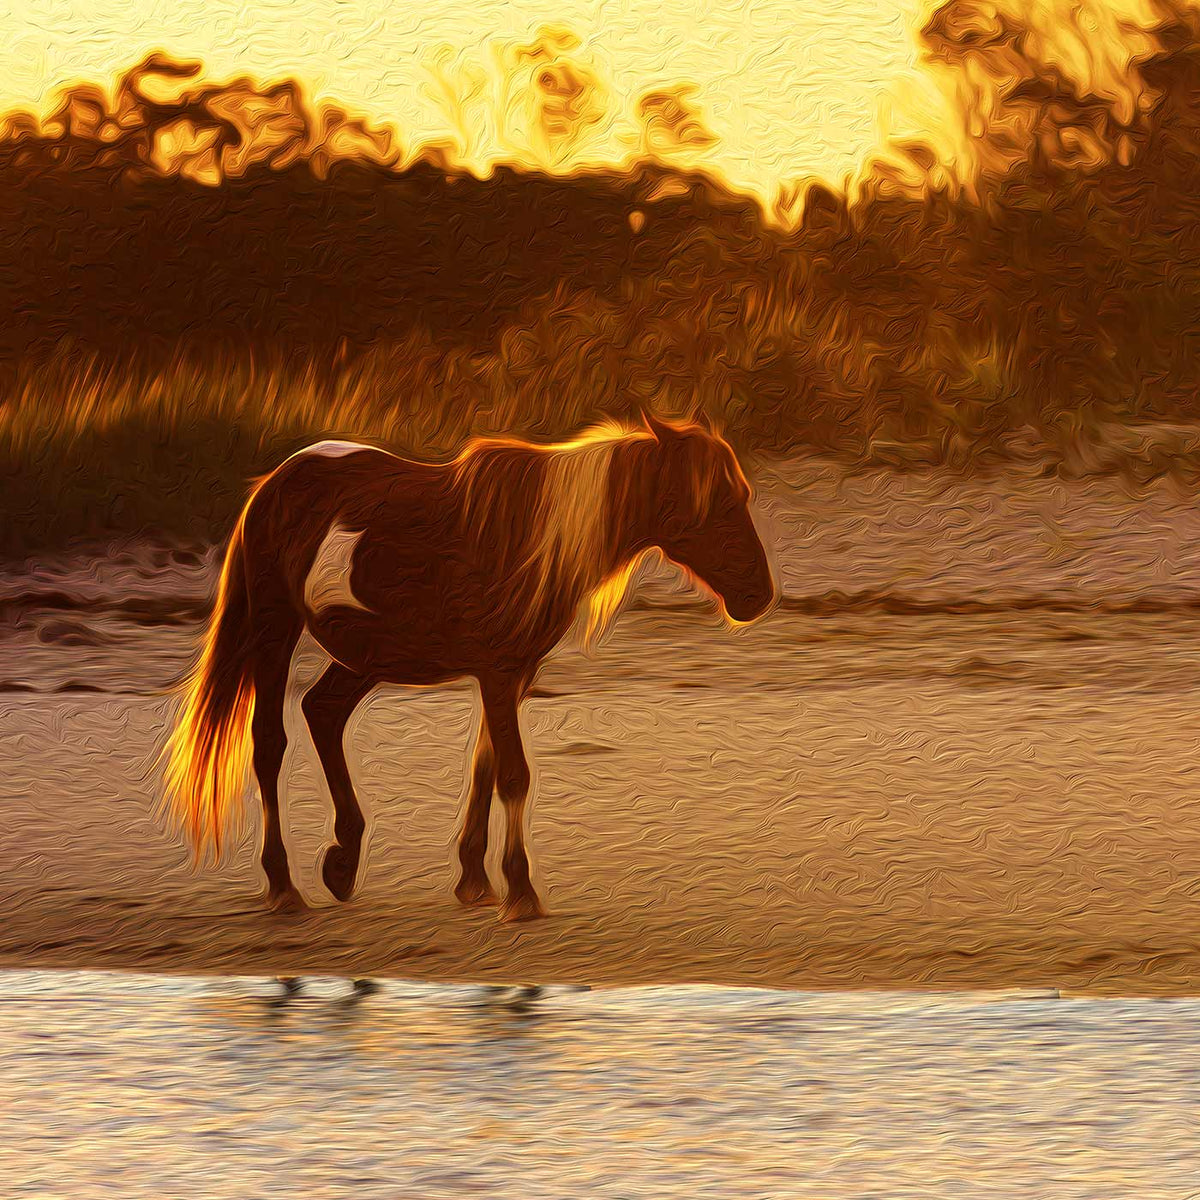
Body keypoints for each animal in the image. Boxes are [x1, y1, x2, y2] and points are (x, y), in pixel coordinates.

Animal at [162, 408, 777, 921]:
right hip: (276, 627)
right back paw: (284, 884)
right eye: (713, 503)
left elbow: (485, 766)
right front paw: (521, 891)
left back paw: (343, 859)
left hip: (372, 654)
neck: (530, 535)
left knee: (324, 711)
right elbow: (514, 775)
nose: (758, 596)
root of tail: (274, 483)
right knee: (269, 742)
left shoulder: (510, 673)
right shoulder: (500, 673)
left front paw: (475, 880)